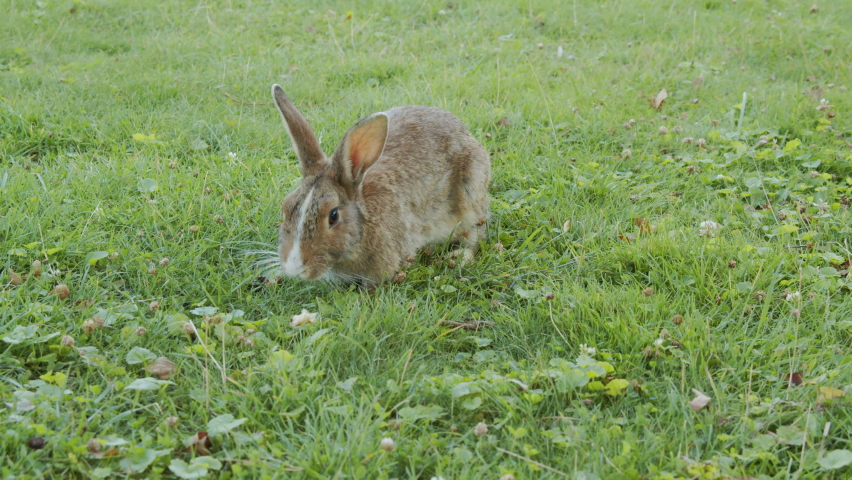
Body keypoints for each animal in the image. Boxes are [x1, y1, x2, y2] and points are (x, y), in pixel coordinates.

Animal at [270, 85, 490, 284]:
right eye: (286, 207)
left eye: (333, 216)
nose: (294, 268)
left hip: (471, 195)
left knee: (475, 237)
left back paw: (460, 258)